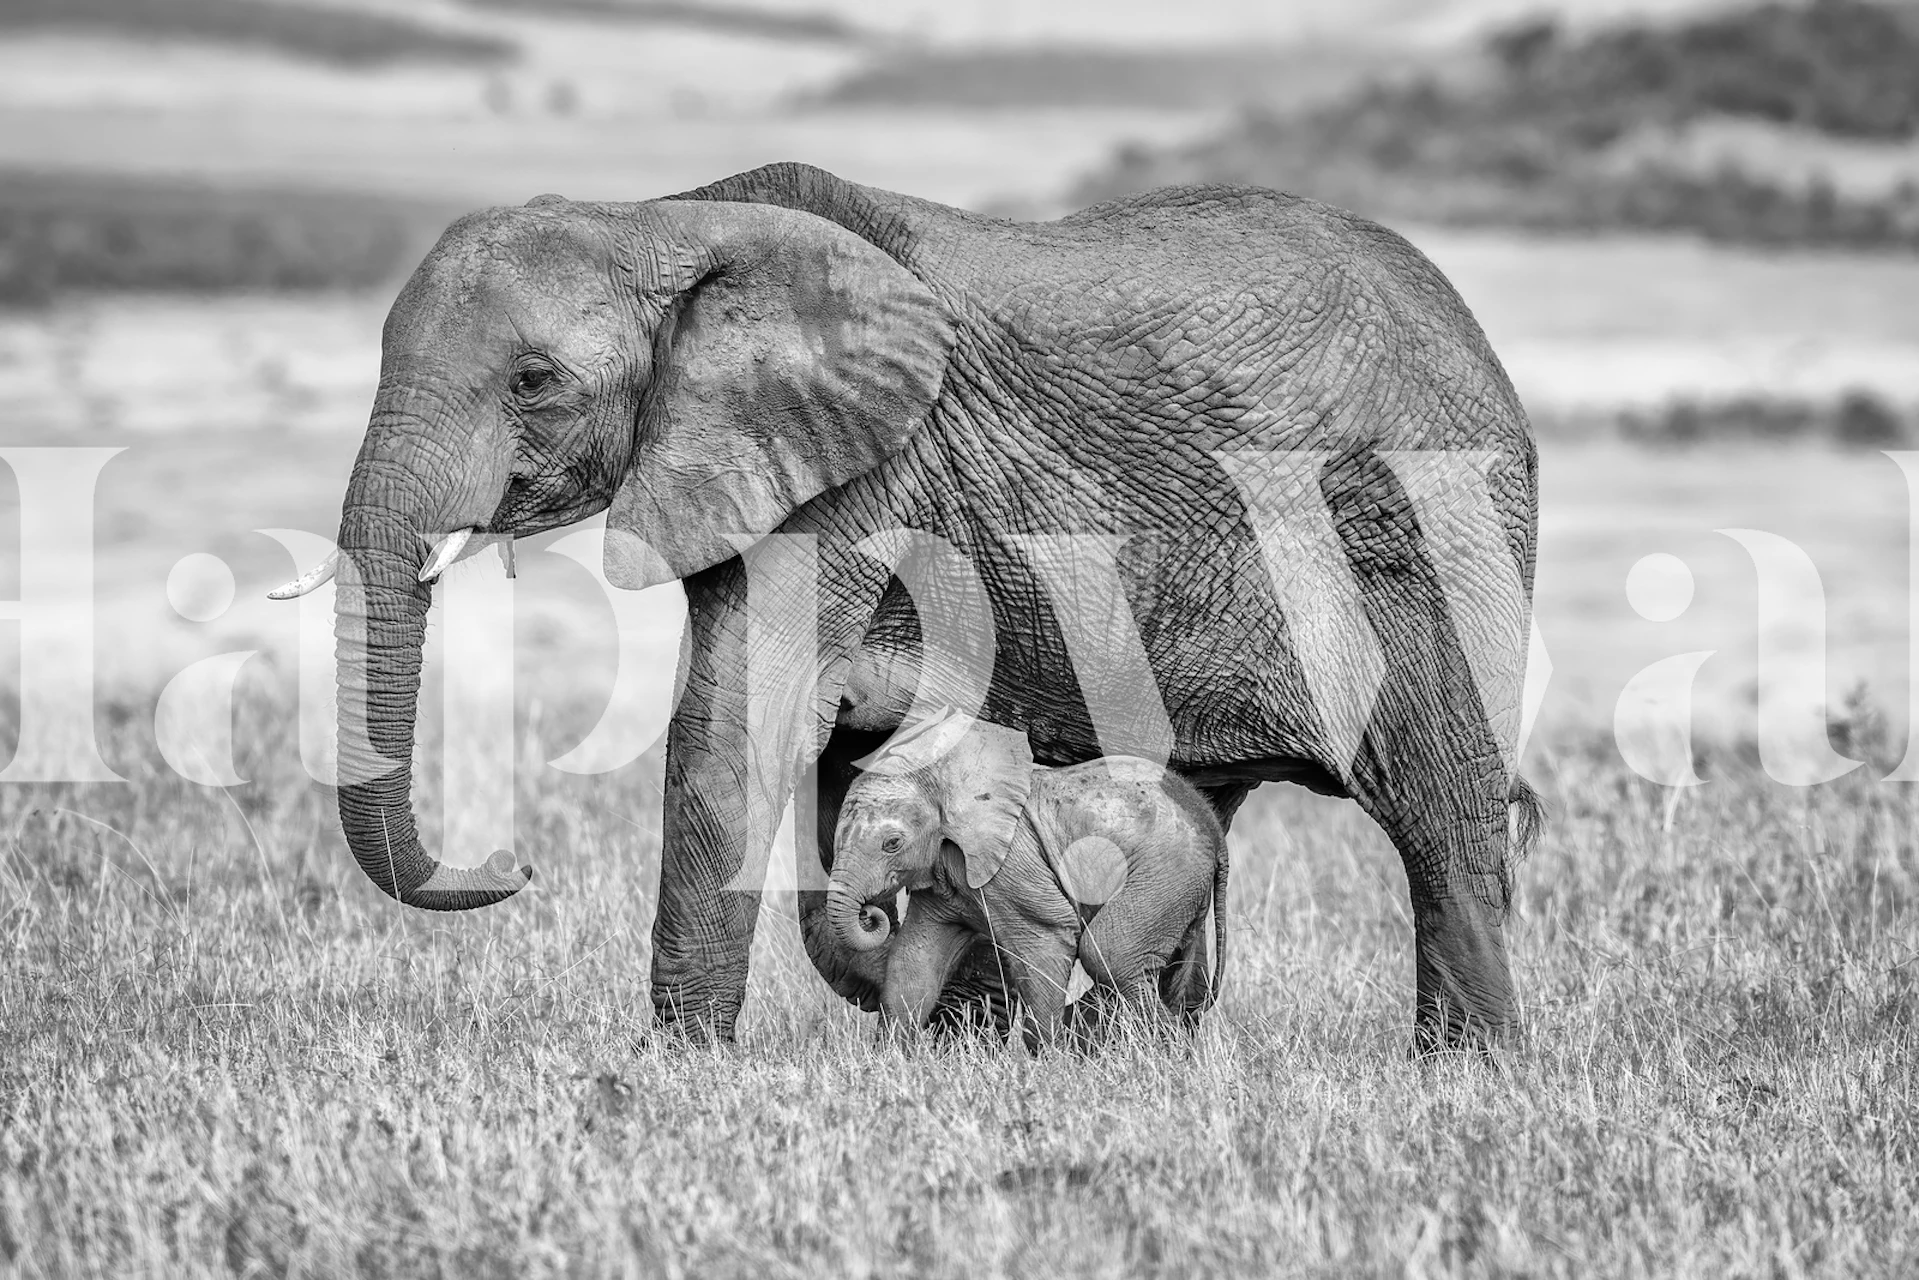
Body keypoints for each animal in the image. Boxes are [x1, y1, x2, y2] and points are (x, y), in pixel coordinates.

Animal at [827, 712, 1228, 1049]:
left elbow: (1045, 940)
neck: (941, 777)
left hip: (1166, 870)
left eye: (892, 843)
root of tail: (1211, 822)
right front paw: (889, 1060)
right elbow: (914, 959)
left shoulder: (1013, 865)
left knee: (1110, 952)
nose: (871, 914)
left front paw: (1049, 1065)